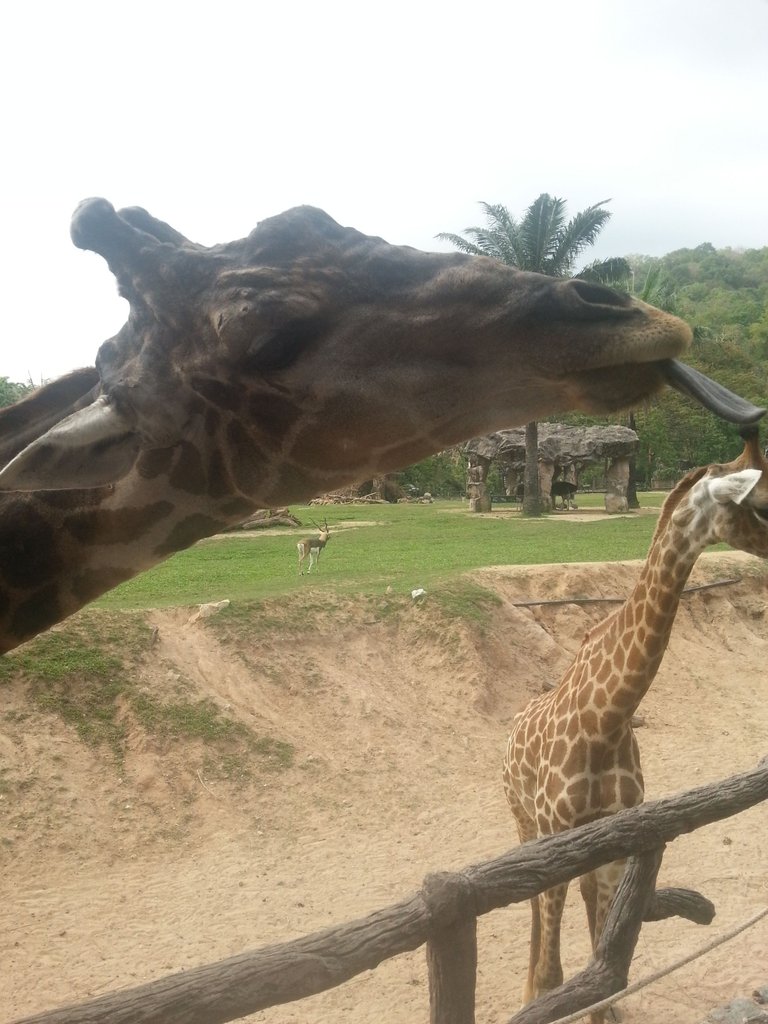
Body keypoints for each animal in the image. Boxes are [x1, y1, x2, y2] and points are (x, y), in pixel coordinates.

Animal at [505, 430, 768, 1015]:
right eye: (761, 503)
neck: (607, 718)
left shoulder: (616, 836)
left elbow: (606, 971)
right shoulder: (556, 835)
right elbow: (556, 974)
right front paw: (539, 994)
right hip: (525, 822)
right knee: (533, 910)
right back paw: (525, 987)